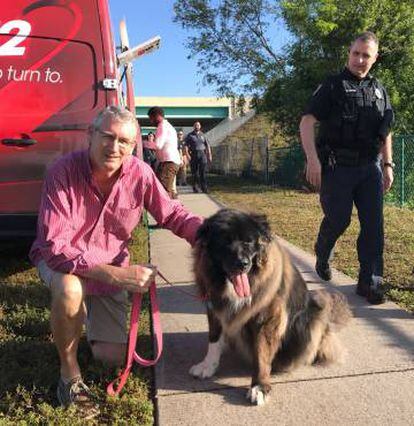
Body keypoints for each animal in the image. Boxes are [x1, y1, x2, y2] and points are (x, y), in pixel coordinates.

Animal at [189, 210, 350, 406]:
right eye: (225, 241)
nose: (243, 263)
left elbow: (261, 354)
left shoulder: (267, 319)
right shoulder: (214, 308)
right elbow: (213, 339)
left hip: (315, 315)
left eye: (249, 241)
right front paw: (208, 365)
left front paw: (259, 386)